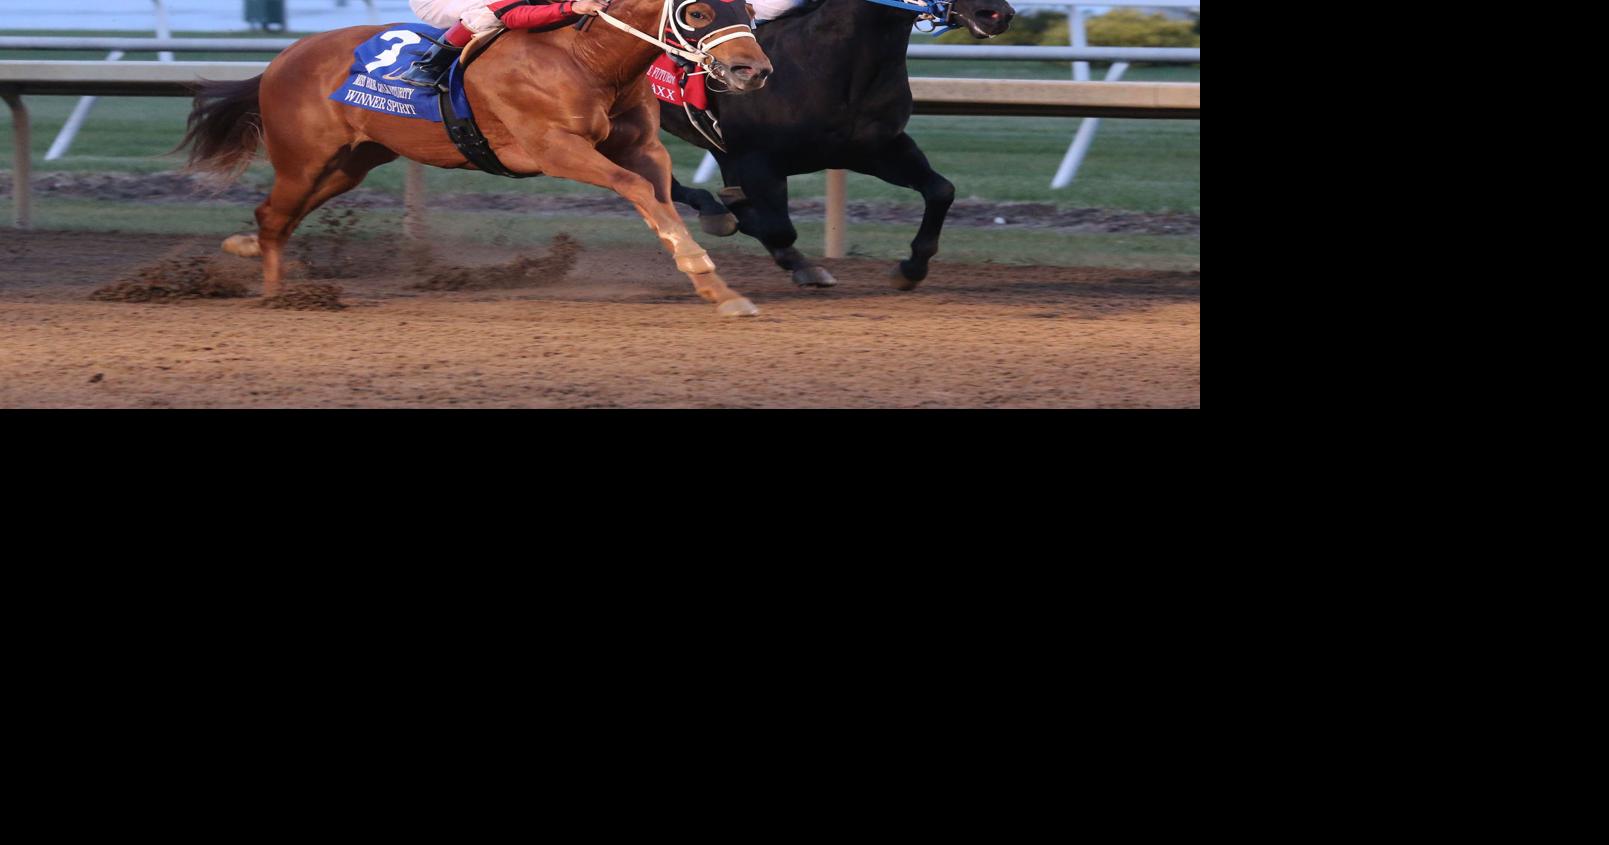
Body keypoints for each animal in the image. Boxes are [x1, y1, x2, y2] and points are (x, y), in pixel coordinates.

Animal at [179, 0, 775, 317]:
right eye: (696, 10)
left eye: (747, 8)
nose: (754, 70)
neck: (587, 58)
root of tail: (282, 59)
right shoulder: (553, 147)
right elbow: (636, 190)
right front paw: (701, 265)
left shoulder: (640, 147)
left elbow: (660, 197)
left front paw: (720, 289)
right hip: (303, 158)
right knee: (275, 216)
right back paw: (277, 295)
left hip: (350, 163)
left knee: (276, 217)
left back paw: (253, 257)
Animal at [663, 0, 1015, 290]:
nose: (997, 14)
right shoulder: (756, 158)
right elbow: (778, 228)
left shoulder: (874, 149)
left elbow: (941, 191)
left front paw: (911, 268)